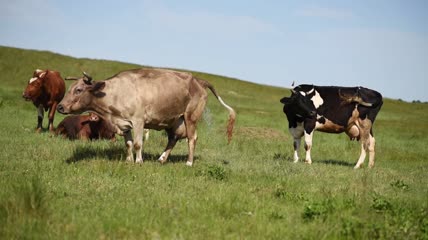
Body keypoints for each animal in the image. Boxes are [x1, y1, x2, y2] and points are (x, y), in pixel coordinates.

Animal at [56, 67, 237, 165]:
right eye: (70, 88)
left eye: (78, 89)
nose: (60, 106)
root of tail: (198, 80)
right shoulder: (124, 123)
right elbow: (128, 143)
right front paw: (128, 161)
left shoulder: (138, 121)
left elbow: (137, 144)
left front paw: (138, 161)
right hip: (174, 121)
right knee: (173, 139)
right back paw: (162, 159)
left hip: (190, 117)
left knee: (192, 139)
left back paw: (189, 162)